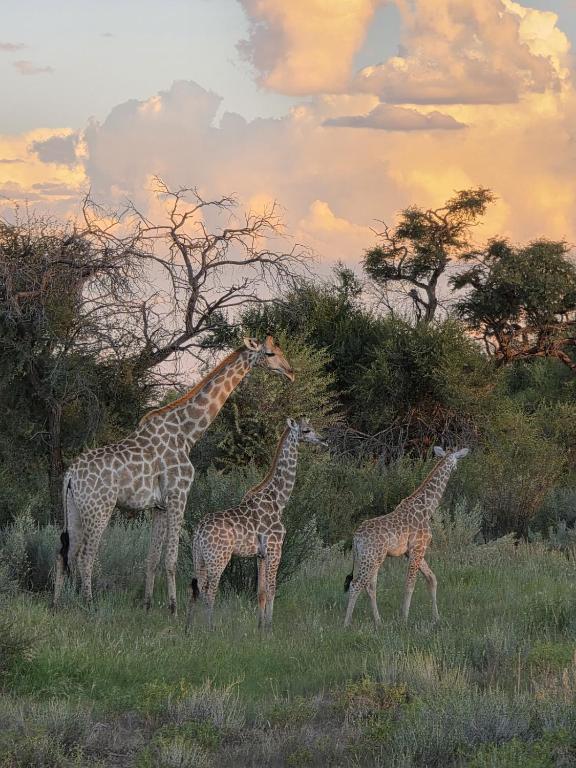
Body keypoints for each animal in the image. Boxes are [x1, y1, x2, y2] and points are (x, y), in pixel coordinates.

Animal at [52, 336, 295, 615]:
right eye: (270, 353)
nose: (290, 372)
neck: (187, 433)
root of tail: (70, 475)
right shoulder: (179, 495)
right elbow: (171, 559)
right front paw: (173, 608)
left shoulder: (159, 506)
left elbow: (152, 558)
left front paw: (147, 604)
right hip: (99, 508)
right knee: (85, 555)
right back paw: (88, 604)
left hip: (74, 508)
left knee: (64, 553)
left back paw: (58, 604)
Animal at [186, 417, 326, 630]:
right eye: (306, 430)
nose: (322, 439)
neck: (279, 499)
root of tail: (199, 531)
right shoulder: (275, 548)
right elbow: (272, 588)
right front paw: (269, 627)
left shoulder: (260, 554)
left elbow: (260, 592)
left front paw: (259, 626)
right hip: (218, 557)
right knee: (210, 591)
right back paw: (210, 628)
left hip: (199, 557)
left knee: (198, 588)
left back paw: (191, 628)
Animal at [343, 446, 470, 628]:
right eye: (457, 459)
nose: (456, 469)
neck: (427, 508)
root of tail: (356, 538)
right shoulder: (418, 547)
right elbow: (410, 584)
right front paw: (404, 619)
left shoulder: (411, 551)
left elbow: (432, 578)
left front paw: (436, 618)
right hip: (371, 557)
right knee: (356, 584)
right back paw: (346, 624)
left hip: (371, 558)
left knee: (370, 586)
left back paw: (379, 622)